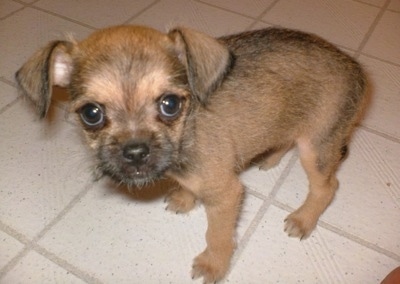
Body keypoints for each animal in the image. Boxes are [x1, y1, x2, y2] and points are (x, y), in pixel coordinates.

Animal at [15, 25, 368, 282]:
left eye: (170, 104)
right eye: (91, 114)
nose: (135, 152)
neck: (187, 132)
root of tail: (355, 67)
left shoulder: (226, 195)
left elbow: (217, 235)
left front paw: (213, 265)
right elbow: (186, 184)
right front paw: (185, 198)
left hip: (316, 147)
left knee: (327, 187)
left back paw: (303, 219)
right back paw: (268, 159)